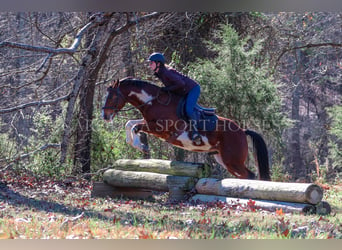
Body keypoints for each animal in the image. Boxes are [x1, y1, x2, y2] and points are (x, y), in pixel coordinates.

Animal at [100, 77, 272, 181]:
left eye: (113, 96)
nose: (105, 115)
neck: (153, 102)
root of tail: (242, 131)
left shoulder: (158, 128)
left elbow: (135, 127)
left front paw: (140, 146)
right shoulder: (148, 122)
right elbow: (129, 123)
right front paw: (137, 144)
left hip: (233, 160)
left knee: (249, 175)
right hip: (223, 159)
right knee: (245, 175)